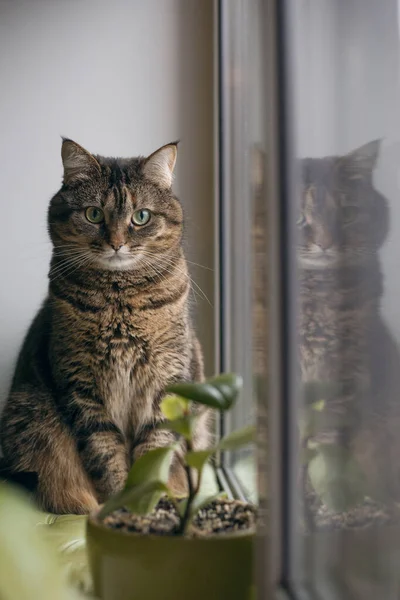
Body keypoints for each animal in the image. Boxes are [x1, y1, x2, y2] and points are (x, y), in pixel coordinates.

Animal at [0, 138, 211, 512]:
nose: (116, 243)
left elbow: (153, 448)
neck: (119, 300)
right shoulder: (82, 386)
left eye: (141, 217)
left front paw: (146, 506)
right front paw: (120, 505)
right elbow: (106, 453)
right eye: (93, 214)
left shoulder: (166, 380)